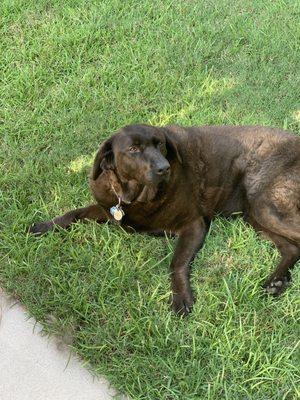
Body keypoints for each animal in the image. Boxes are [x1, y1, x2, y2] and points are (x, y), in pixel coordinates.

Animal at [29, 125, 300, 316]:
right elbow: (73, 213)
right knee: (291, 248)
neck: (137, 197)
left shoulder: (194, 225)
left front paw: (180, 296)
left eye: (160, 144)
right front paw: (45, 225)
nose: (164, 168)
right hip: (253, 213)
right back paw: (276, 282)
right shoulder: (109, 208)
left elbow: (176, 262)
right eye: (134, 149)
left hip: (263, 205)